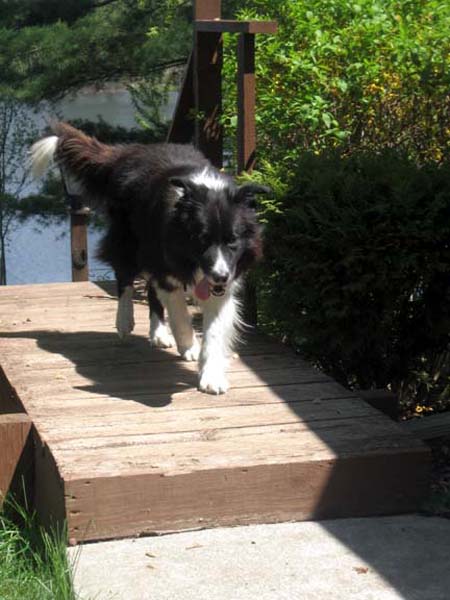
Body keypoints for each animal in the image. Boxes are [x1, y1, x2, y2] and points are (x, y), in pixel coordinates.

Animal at [32, 123, 270, 394]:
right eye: (202, 240)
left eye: (232, 240)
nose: (219, 277)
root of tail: (129, 153)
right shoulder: (167, 262)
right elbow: (179, 313)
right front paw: (189, 345)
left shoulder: (224, 279)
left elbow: (214, 330)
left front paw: (211, 376)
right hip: (131, 241)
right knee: (125, 278)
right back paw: (125, 321)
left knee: (150, 288)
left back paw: (159, 333)